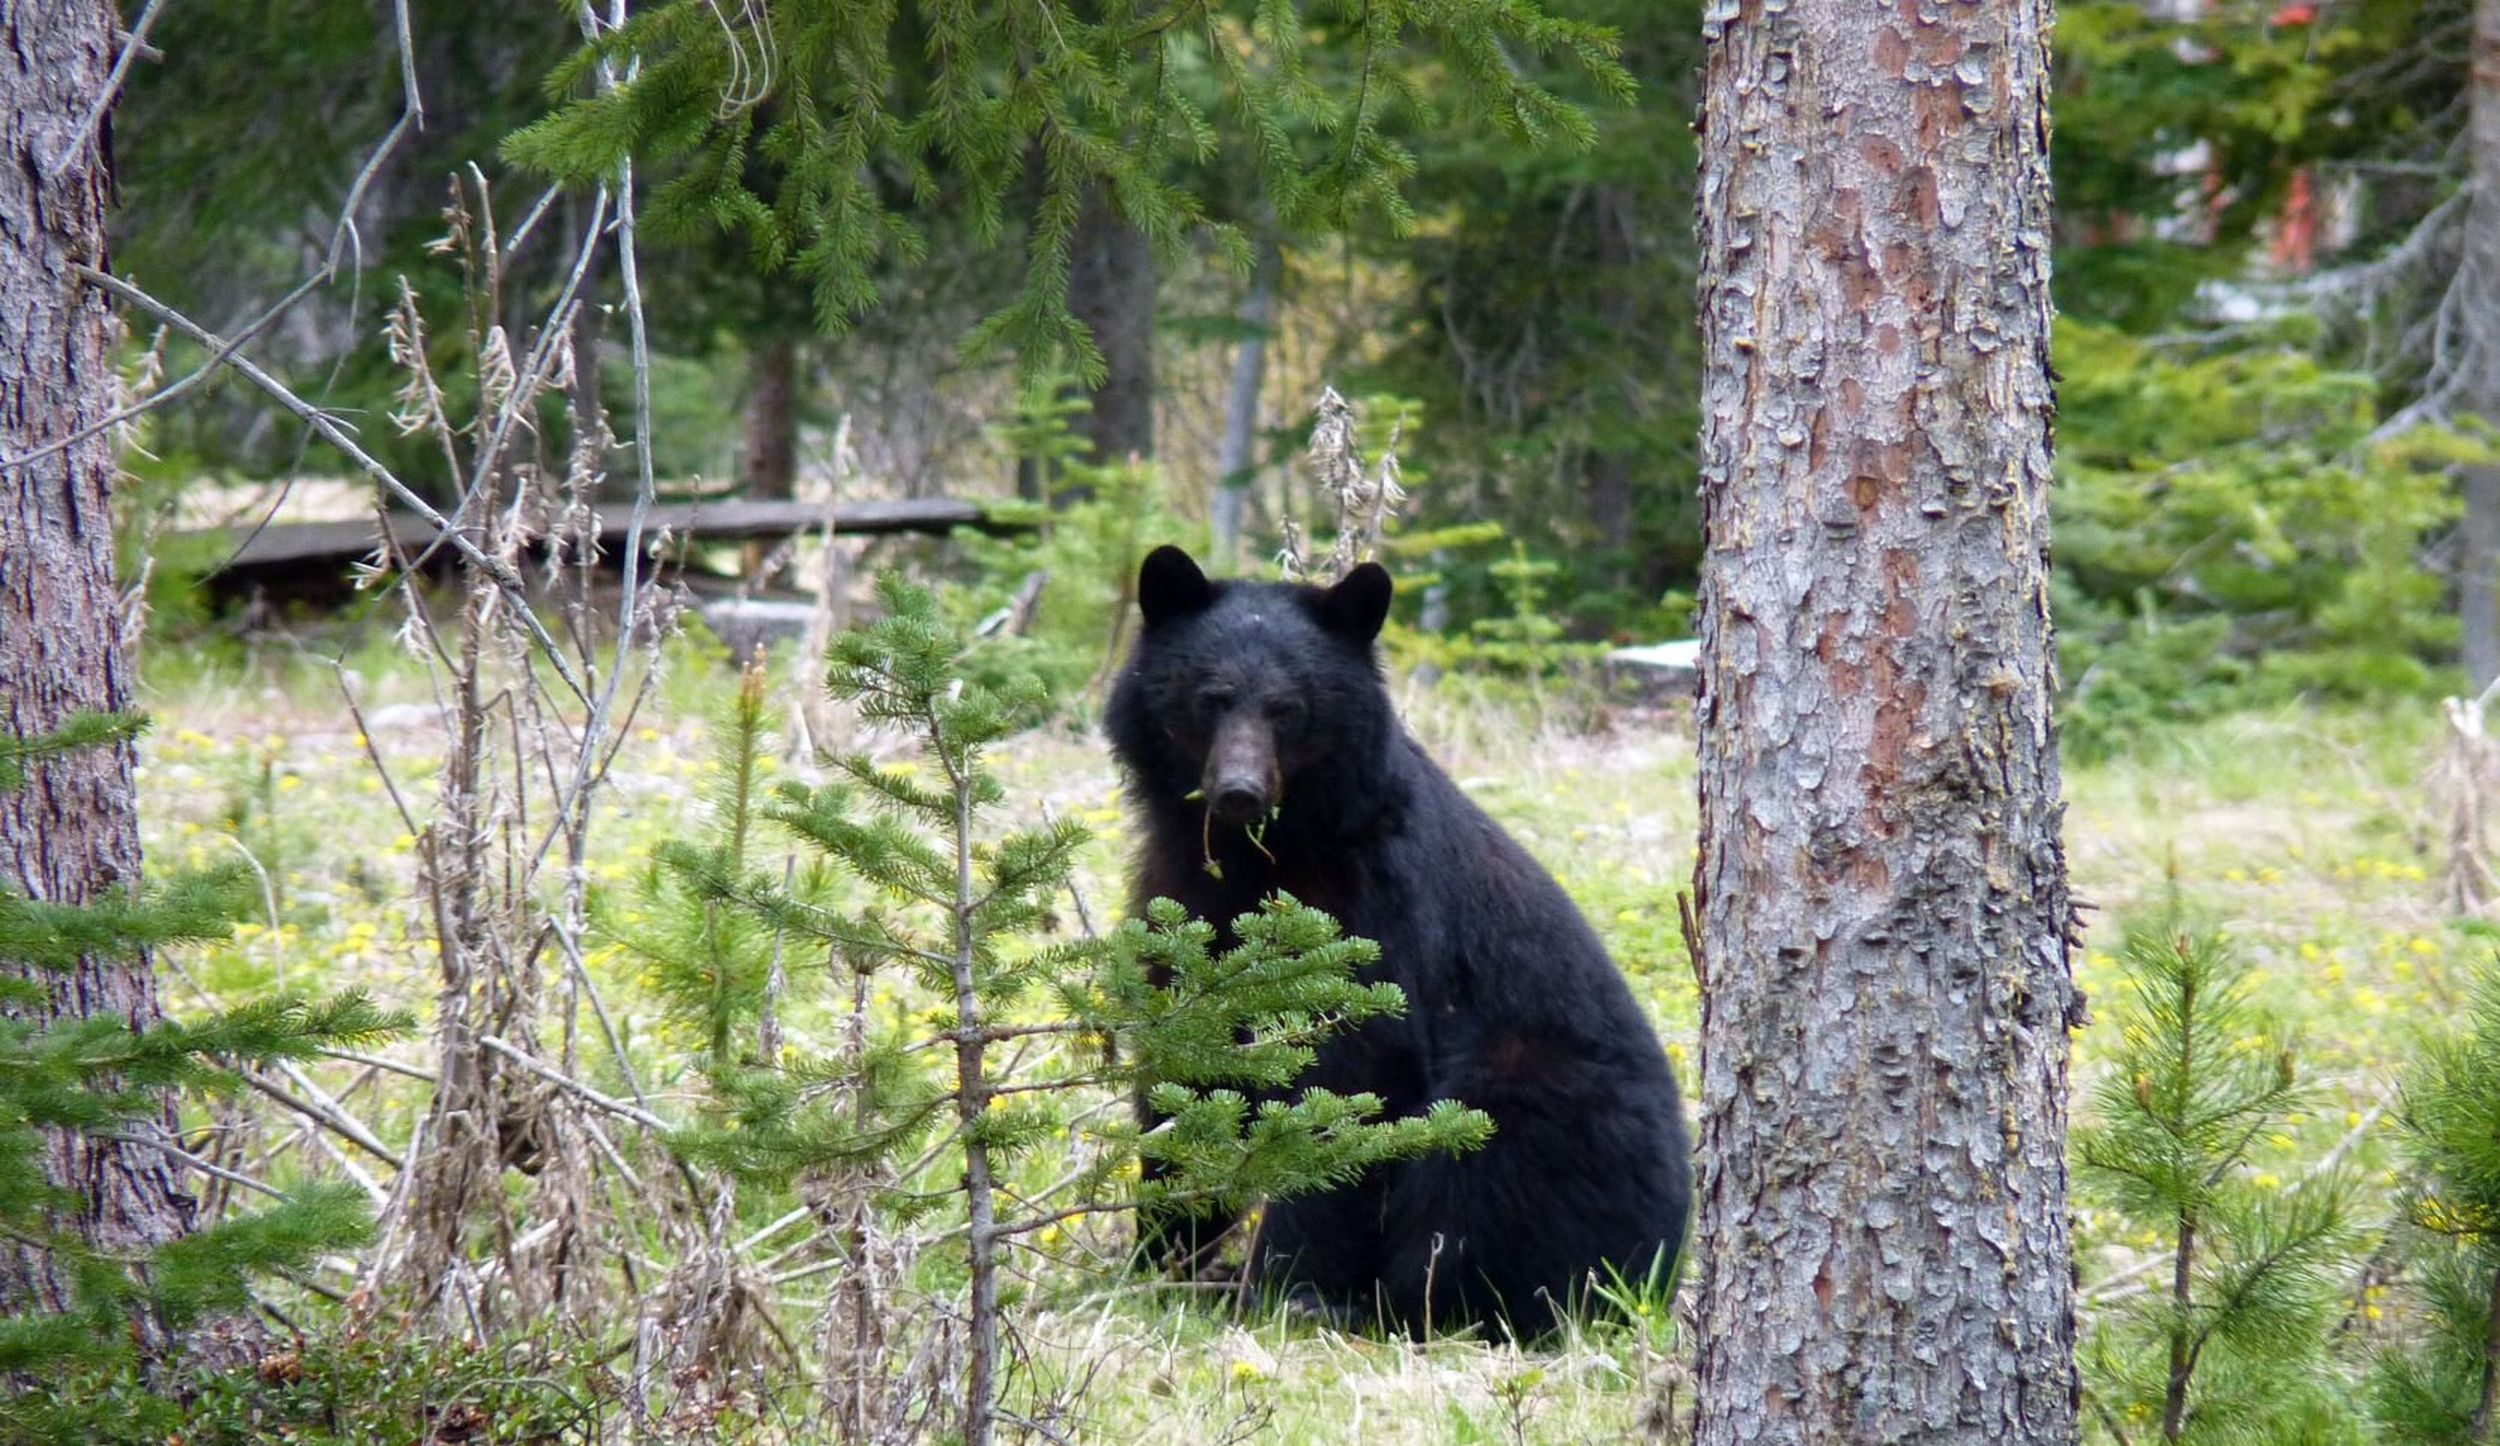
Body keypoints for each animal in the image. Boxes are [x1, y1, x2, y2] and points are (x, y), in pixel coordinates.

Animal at [1105, 545, 1690, 1330]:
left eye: (1288, 708)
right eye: (1211, 697)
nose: (1239, 792)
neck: (1264, 856)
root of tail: (1670, 1256)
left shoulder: (1376, 908)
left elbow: (1352, 1081)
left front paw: (1290, 1290)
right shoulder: (1182, 903)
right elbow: (1190, 1065)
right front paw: (1158, 1259)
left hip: (1531, 1099)